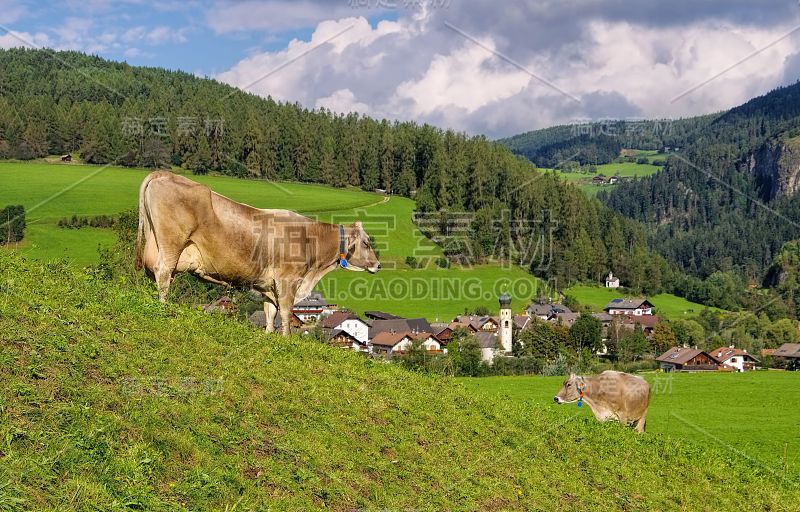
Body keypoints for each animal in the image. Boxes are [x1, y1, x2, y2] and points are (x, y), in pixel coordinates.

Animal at [135, 170, 382, 334]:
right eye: (366, 243)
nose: (378, 265)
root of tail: (164, 174)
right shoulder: (288, 281)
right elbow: (285, 313)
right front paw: (286, 339)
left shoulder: (267, 285)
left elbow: (270, 313)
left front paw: (269, 336)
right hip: (171, 243)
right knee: (163, 272)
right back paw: (163, 307)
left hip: (156, 244)